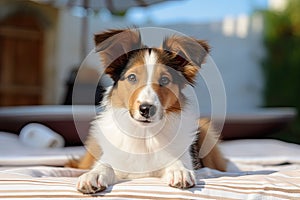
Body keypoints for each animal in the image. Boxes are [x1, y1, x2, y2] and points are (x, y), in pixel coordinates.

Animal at [74, 28, 226, 194]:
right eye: (132, 77)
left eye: (165, 80)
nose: (146, 109)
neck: (145, 135)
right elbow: (105, 164)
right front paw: (94, 174)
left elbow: (176, 161)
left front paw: (179, 171)